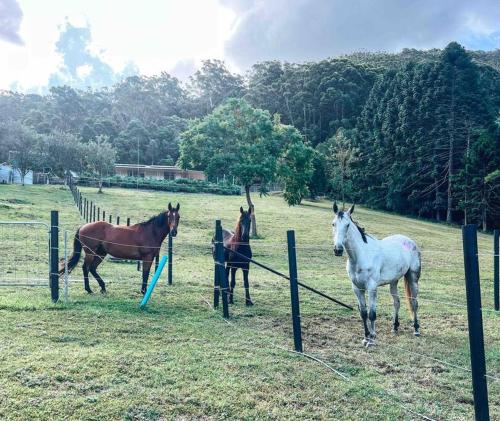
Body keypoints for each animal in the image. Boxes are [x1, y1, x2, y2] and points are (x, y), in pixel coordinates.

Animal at [332, 202, 422, 346]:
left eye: (347, 225)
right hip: (393, 281)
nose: (338, 249)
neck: (362, 255)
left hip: (413, 278)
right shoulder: (357, 288)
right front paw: (366, 337)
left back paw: (416, 329)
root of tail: (410, 241)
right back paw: (395, 327)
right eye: (333, 224)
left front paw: (372, 338)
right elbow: (363, 313)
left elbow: (372, 314)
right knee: (396, 302)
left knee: (414, 303)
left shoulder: (372, 287)